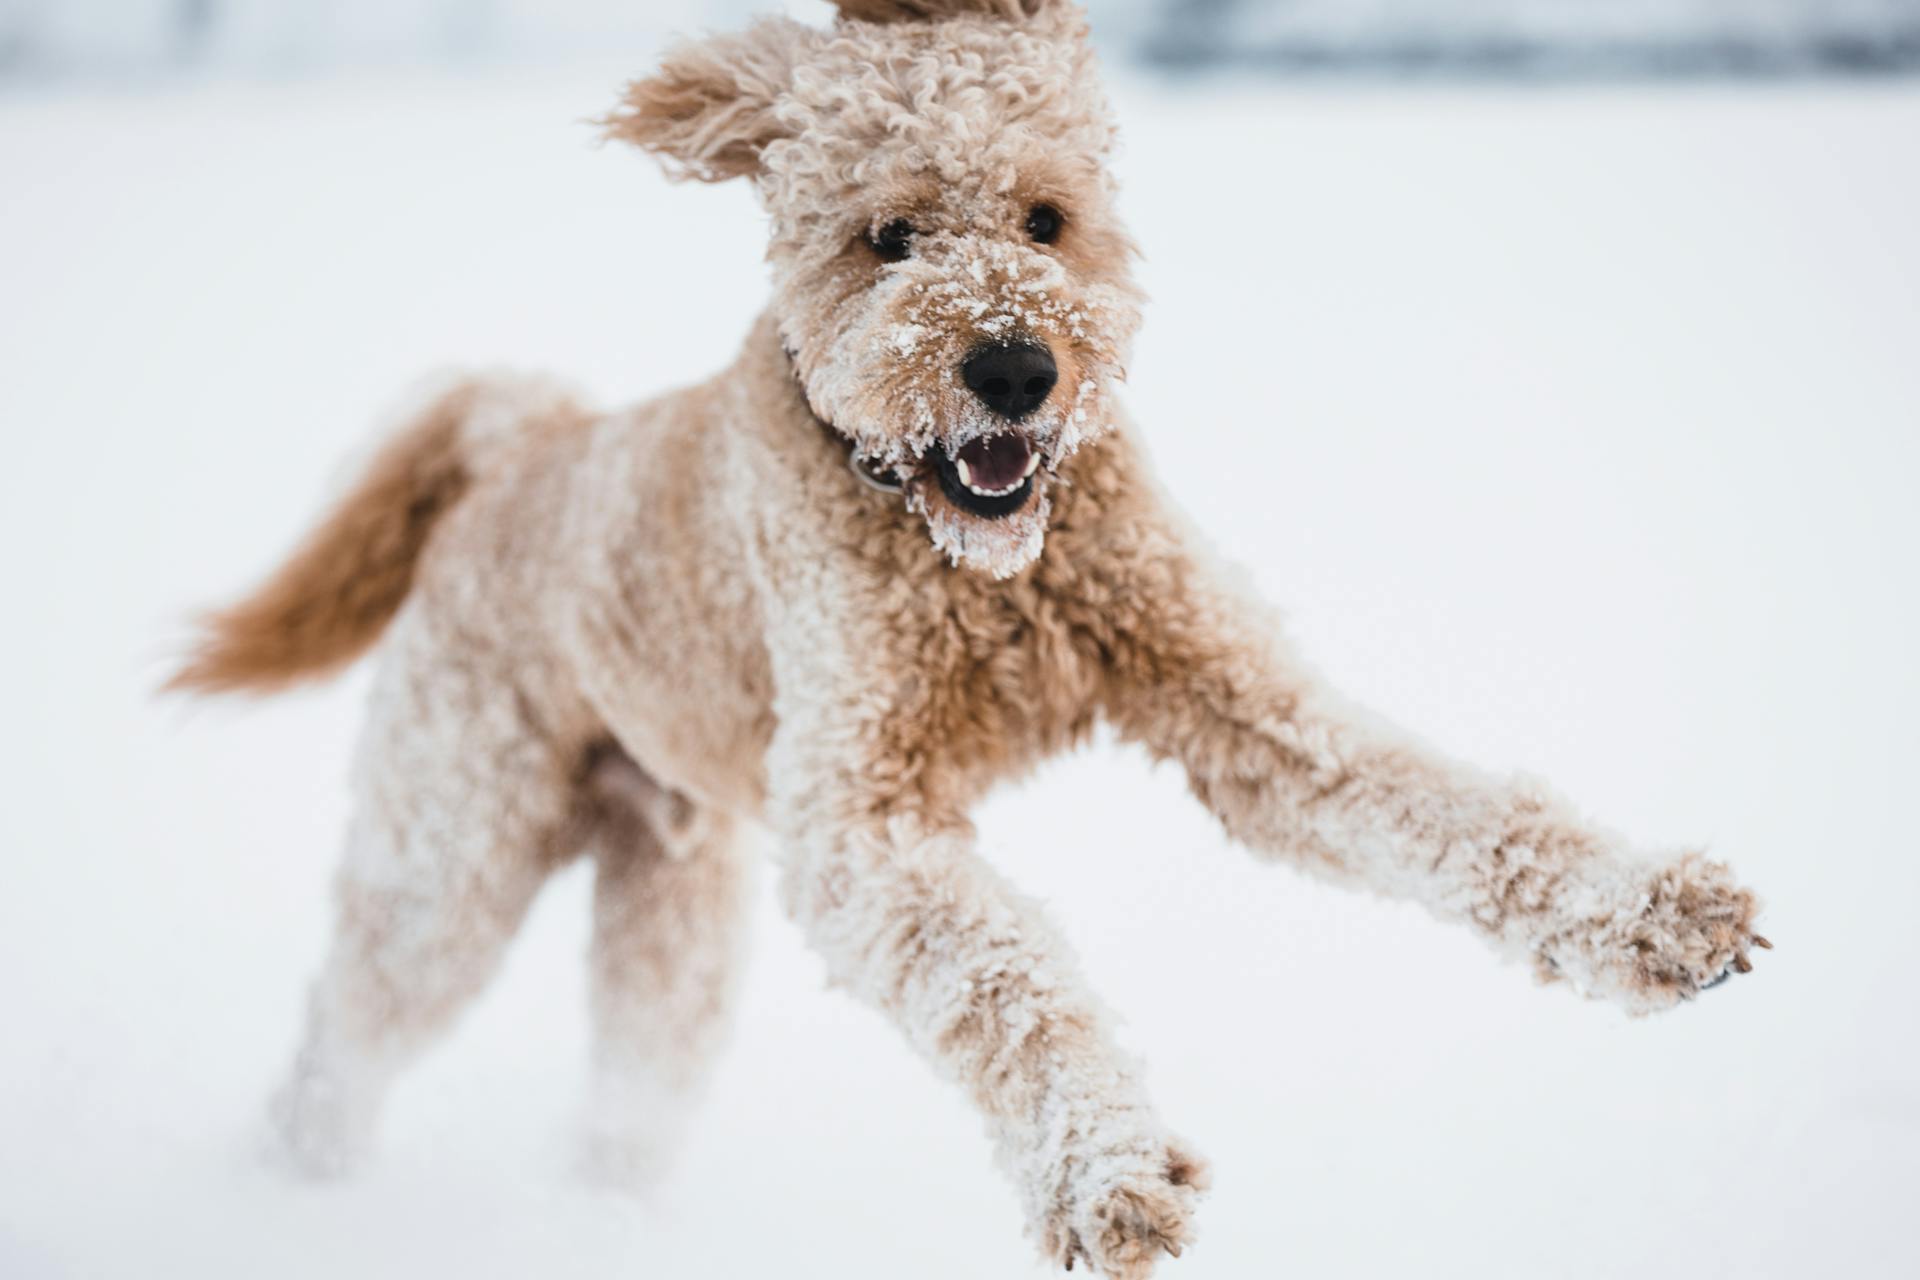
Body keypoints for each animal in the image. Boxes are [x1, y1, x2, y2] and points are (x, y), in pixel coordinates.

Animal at [176, 5, 1766, 1274]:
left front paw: (1655, 913)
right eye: (890, 236)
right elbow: (1013, 987)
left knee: (630, 1083)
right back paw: (295, 1199)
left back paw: (602, 1222)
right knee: (346, 1038)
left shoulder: (1242, 703)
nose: (1013, 365)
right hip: (449, 853)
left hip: (671, 903)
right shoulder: (865, 823)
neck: (989, 574)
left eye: (1047, 218)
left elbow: (1452, 807)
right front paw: (1108, 1171)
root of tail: (514, 446)